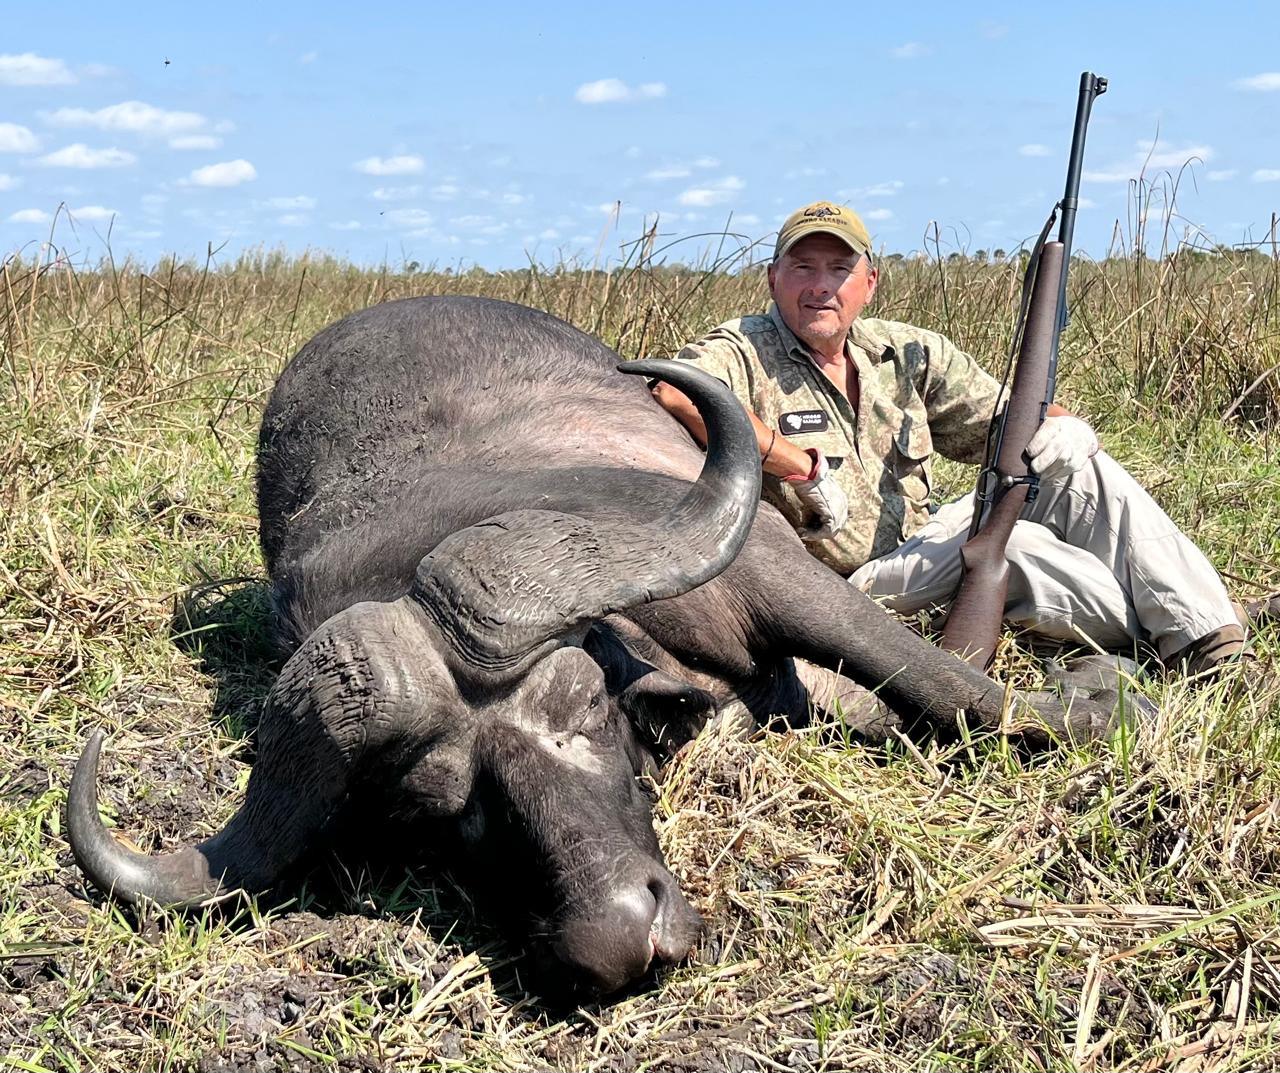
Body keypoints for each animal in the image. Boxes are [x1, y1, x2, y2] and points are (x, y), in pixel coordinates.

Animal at [67, 296, 1124, 997]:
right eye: (439, 815)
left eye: (580, 710)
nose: (621, 938)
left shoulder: (772, 573)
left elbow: (940, 681)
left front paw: (1098, 704)